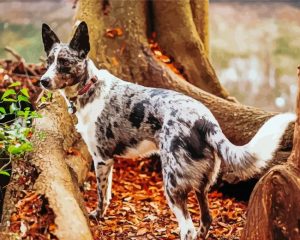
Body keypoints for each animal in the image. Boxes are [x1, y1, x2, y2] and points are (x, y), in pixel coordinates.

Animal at [39, 21, 296, 239]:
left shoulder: (101, 159)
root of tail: (204, 120)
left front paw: (97, 216)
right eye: (48, 61)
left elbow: (102, 196)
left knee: (188, 229)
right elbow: (109, 192)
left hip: (172, 183)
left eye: (64, 62)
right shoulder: (108, 161)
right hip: (202, 186)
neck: (90, 87)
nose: (42, 81)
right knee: (206, 220)